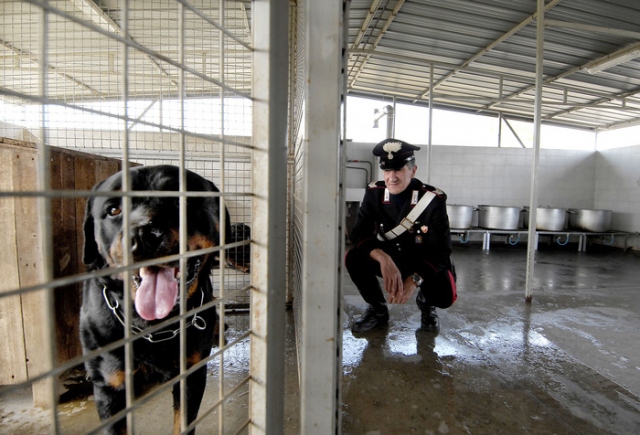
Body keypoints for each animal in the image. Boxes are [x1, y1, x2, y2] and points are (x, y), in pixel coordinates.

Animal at [81, 165, 229, 434]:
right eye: (113, 210)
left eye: (181, 200)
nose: (142, 235)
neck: (154, 327)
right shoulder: (110, 390)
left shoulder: (191, 376)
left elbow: (183, 423)